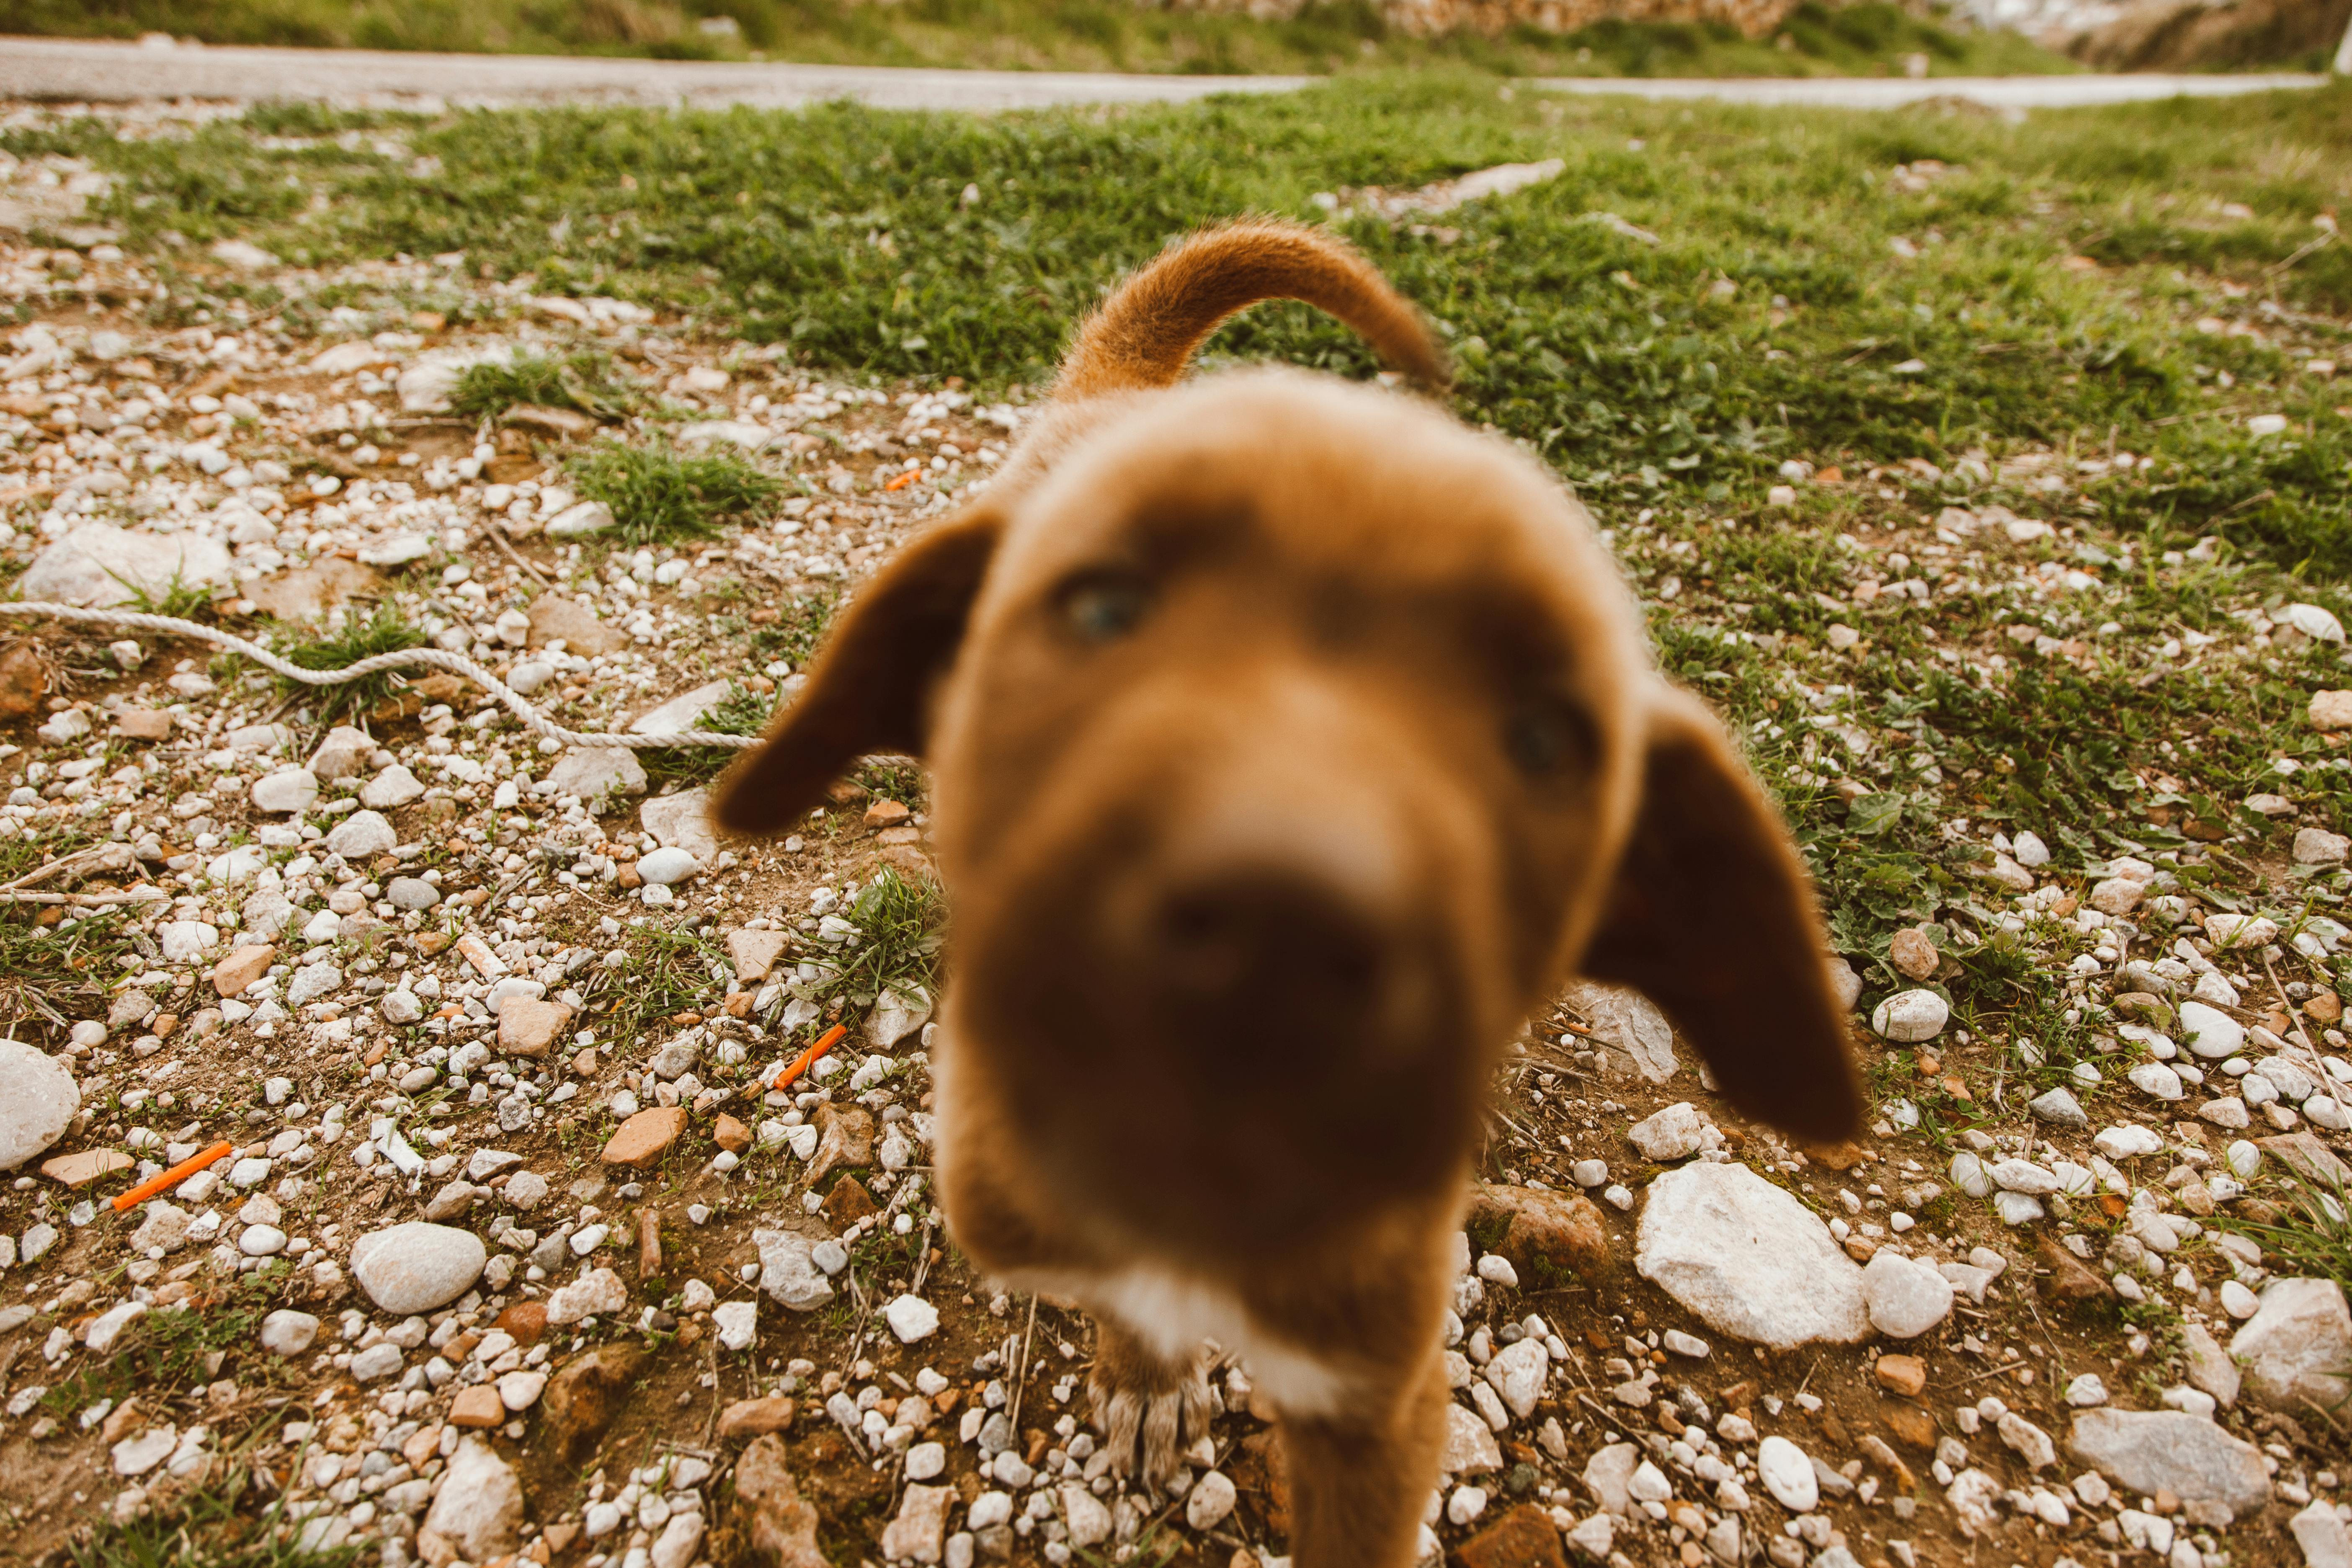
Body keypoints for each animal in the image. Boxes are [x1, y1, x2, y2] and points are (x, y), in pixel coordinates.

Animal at [715, 223, 1853, 1568]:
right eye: (1103, 607)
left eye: (1543, 737)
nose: (1279, 936)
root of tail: (1117, 391)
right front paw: (1147, 1381)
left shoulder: (1381, 1407)